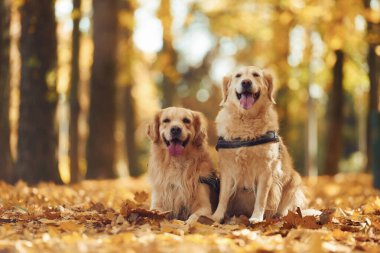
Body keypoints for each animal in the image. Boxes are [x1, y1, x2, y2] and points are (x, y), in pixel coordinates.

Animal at [211, 65, 306, 223]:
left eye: (256, 75)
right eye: (238, 76)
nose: (246, 82)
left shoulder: (266, 169)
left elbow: (261, 198)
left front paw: (256, 217)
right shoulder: (227, 168)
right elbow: (223, 196)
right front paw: (216, 217)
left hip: (295, 179)